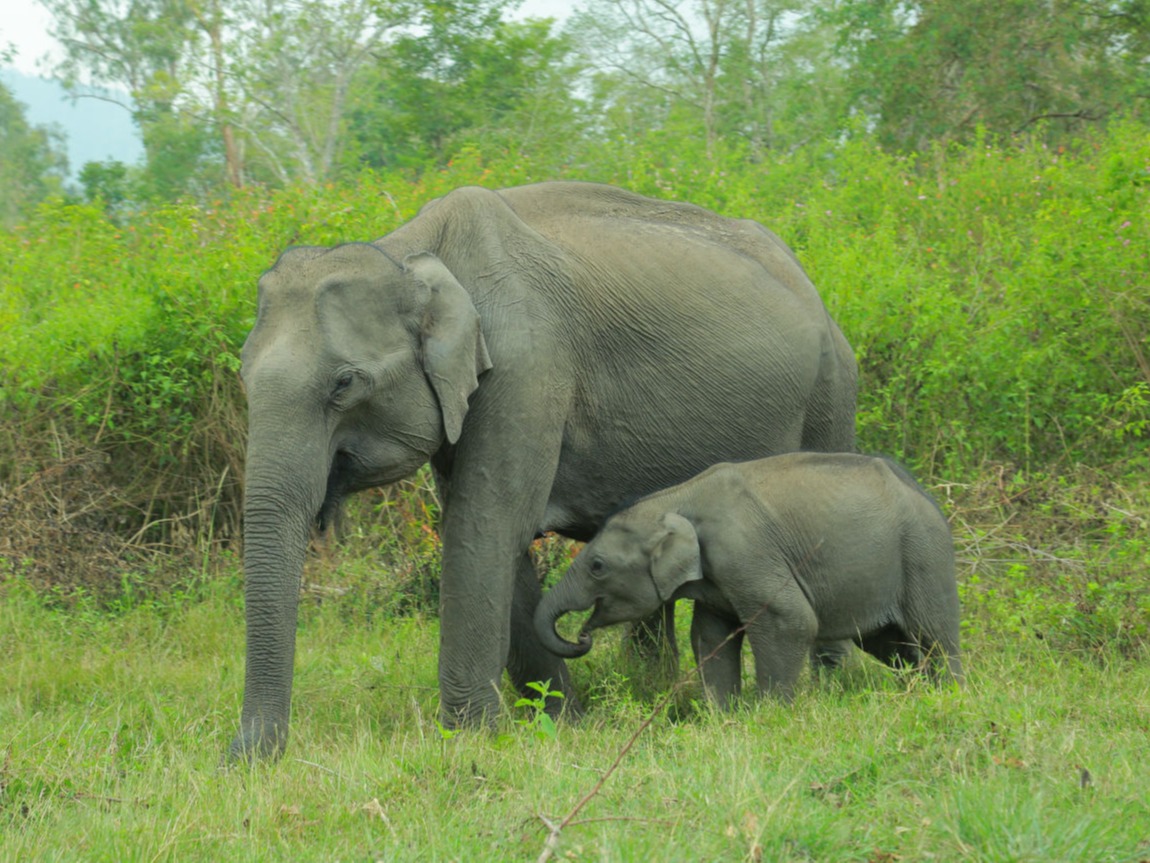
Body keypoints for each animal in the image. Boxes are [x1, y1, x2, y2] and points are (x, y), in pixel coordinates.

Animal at [228, 179, 855, 759]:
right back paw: (652, 687)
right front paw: (561, 722)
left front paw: (473, 738)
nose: (242, 757)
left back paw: (834, 690)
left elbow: (485, 526)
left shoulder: (527, 366)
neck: (407, 251)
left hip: (831, 387)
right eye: (241, 375)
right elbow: (489, 532)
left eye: (344, 384)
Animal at [535, 448, 961, 704]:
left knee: (934, 635)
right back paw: (916, 693)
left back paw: (949, 694)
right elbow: (710, 635)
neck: (677, 498)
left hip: (924, 555)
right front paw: (723, 713)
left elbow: (791, 620)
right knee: (892, 645)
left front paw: (768, 712)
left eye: (597, 566)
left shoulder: (745, 551)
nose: (582, 637)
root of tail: (925, 494)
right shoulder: (716, 578)